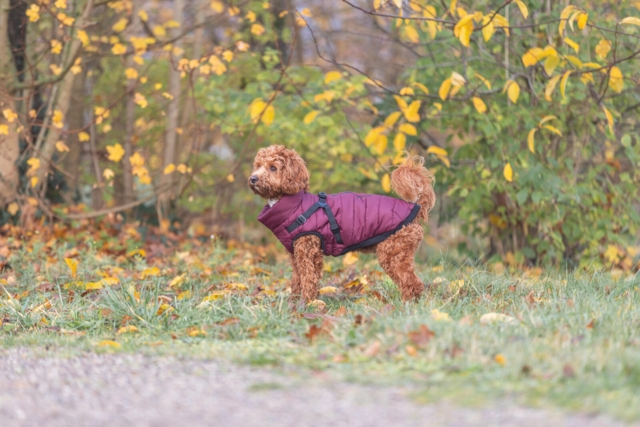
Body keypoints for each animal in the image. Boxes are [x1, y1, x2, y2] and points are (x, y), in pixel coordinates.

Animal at [249, 145, 436, 302]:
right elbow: (297, 280)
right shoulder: (295, 254)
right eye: (257, 165)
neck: (296, 204)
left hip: (392, 253)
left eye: (273, 168)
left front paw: (307, 303)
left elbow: (309, 279)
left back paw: (407, 304)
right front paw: (293, 302)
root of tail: (416, 208)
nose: (253, 178)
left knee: (411, 282)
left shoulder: (308, 251)